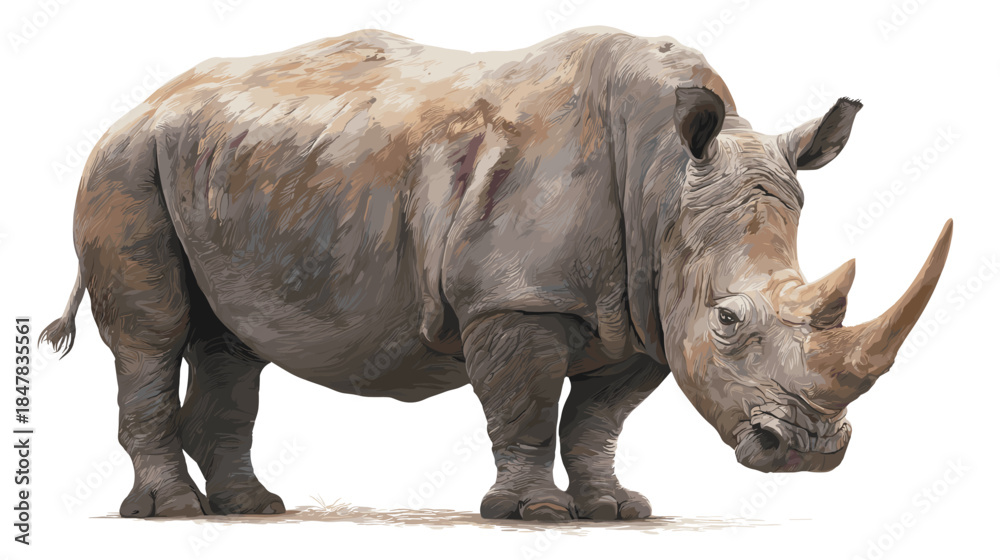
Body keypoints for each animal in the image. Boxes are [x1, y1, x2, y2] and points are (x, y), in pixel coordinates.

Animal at [41, 27, 952, 521]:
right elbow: (526, 406)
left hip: (219, 166)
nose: (806, 453)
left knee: (232, 343)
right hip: (125, 166)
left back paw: (253, 509)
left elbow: (596, 420)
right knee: (152, 336)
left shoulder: (644, 313)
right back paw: (174, 511)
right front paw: (535, 514)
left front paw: (614, 512)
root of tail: (138, 107)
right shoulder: (515, 300)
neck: (665, 186)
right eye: (729, 322)